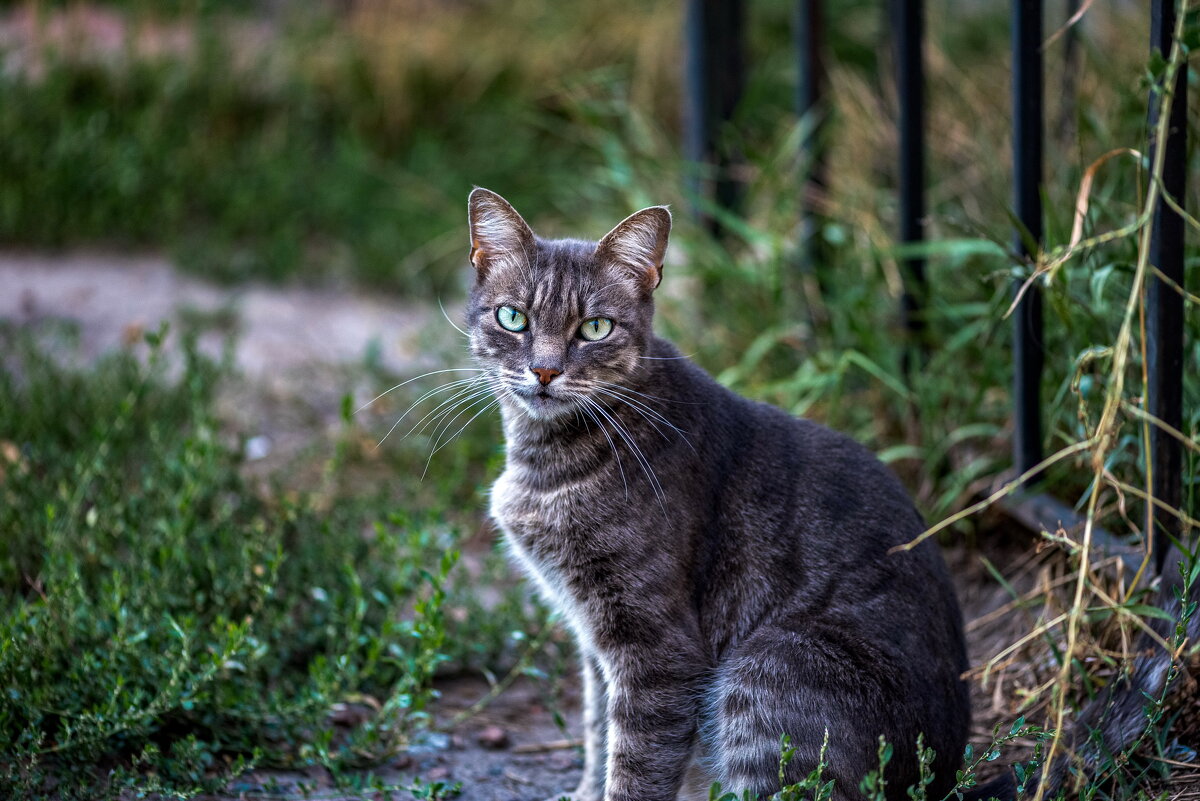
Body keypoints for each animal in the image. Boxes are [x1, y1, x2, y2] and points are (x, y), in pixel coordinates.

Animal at [460, 188, 974, 801]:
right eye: (513, 318)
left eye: (596, 328)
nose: (543, 371)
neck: (543, 460)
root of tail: (941, 771)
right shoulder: (592, 639)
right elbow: (597, 726)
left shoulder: (655, 647)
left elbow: (634, 764)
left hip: (770, 667)